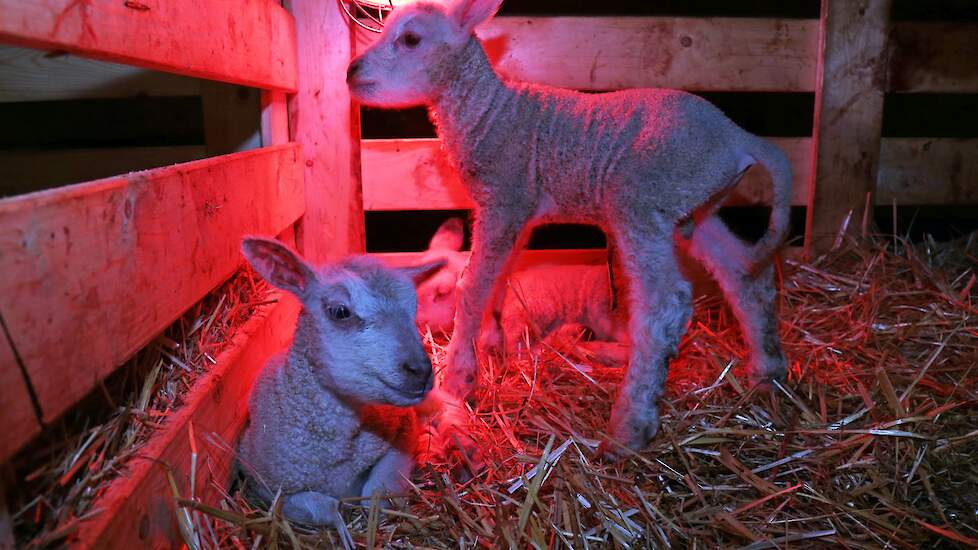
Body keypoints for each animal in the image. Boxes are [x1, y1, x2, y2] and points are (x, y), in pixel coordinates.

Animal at [234, 237, 440, 536]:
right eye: (340, 312)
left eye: (414, 308)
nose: (420, 371)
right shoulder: (263, 485)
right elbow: (327, 509)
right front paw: (344, 533)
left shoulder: (402, 434)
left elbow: (376, 492)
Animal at [346, 0, 788, 458]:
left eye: (411, 38)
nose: (351, 72)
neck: (489, 112)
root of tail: (739, 138)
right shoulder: (518, 210)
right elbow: (499, 280)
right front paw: (492, 346)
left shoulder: (504, 197)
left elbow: (473, 286)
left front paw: (459, 378)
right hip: (696, 208)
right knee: (744, 277)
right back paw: (767, 375)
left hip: (642, 200)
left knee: (664, 306)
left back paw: (628, 430)